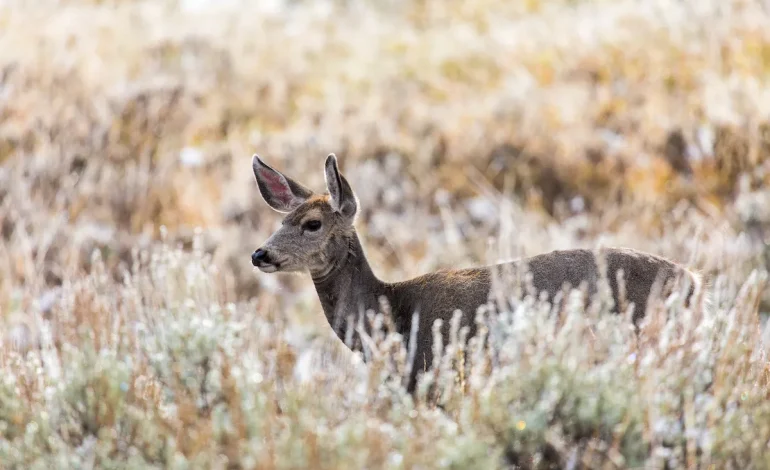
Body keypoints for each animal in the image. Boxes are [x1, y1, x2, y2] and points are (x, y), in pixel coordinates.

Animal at [249, 152, 700, 392]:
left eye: (312, 224)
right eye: (282, 219)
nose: (260, 254)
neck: (393, 314)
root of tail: (695, 282)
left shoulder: (432, 373)